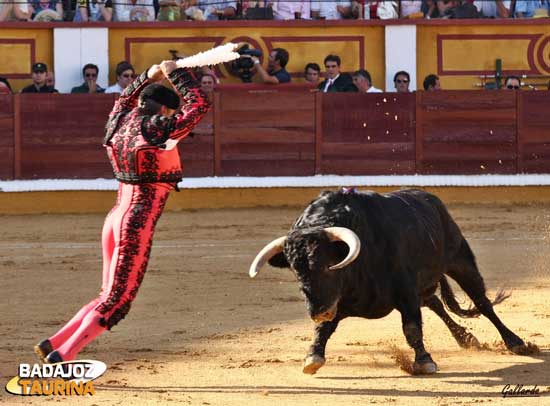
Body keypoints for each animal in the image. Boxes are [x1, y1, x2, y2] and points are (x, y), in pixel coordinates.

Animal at [251, 189, 536, 376]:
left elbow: (411, 328)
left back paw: (515, 342)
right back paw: (465, 338)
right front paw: (313, 356)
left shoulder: (405, 292)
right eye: (296, 271)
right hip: (426, 283)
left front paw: (424, 362)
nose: (316, 311)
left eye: (326, 266)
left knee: (483, 303)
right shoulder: (338, 301)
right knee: (436, 302)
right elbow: (324, 329)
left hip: (460, 261)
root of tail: (430, 199)